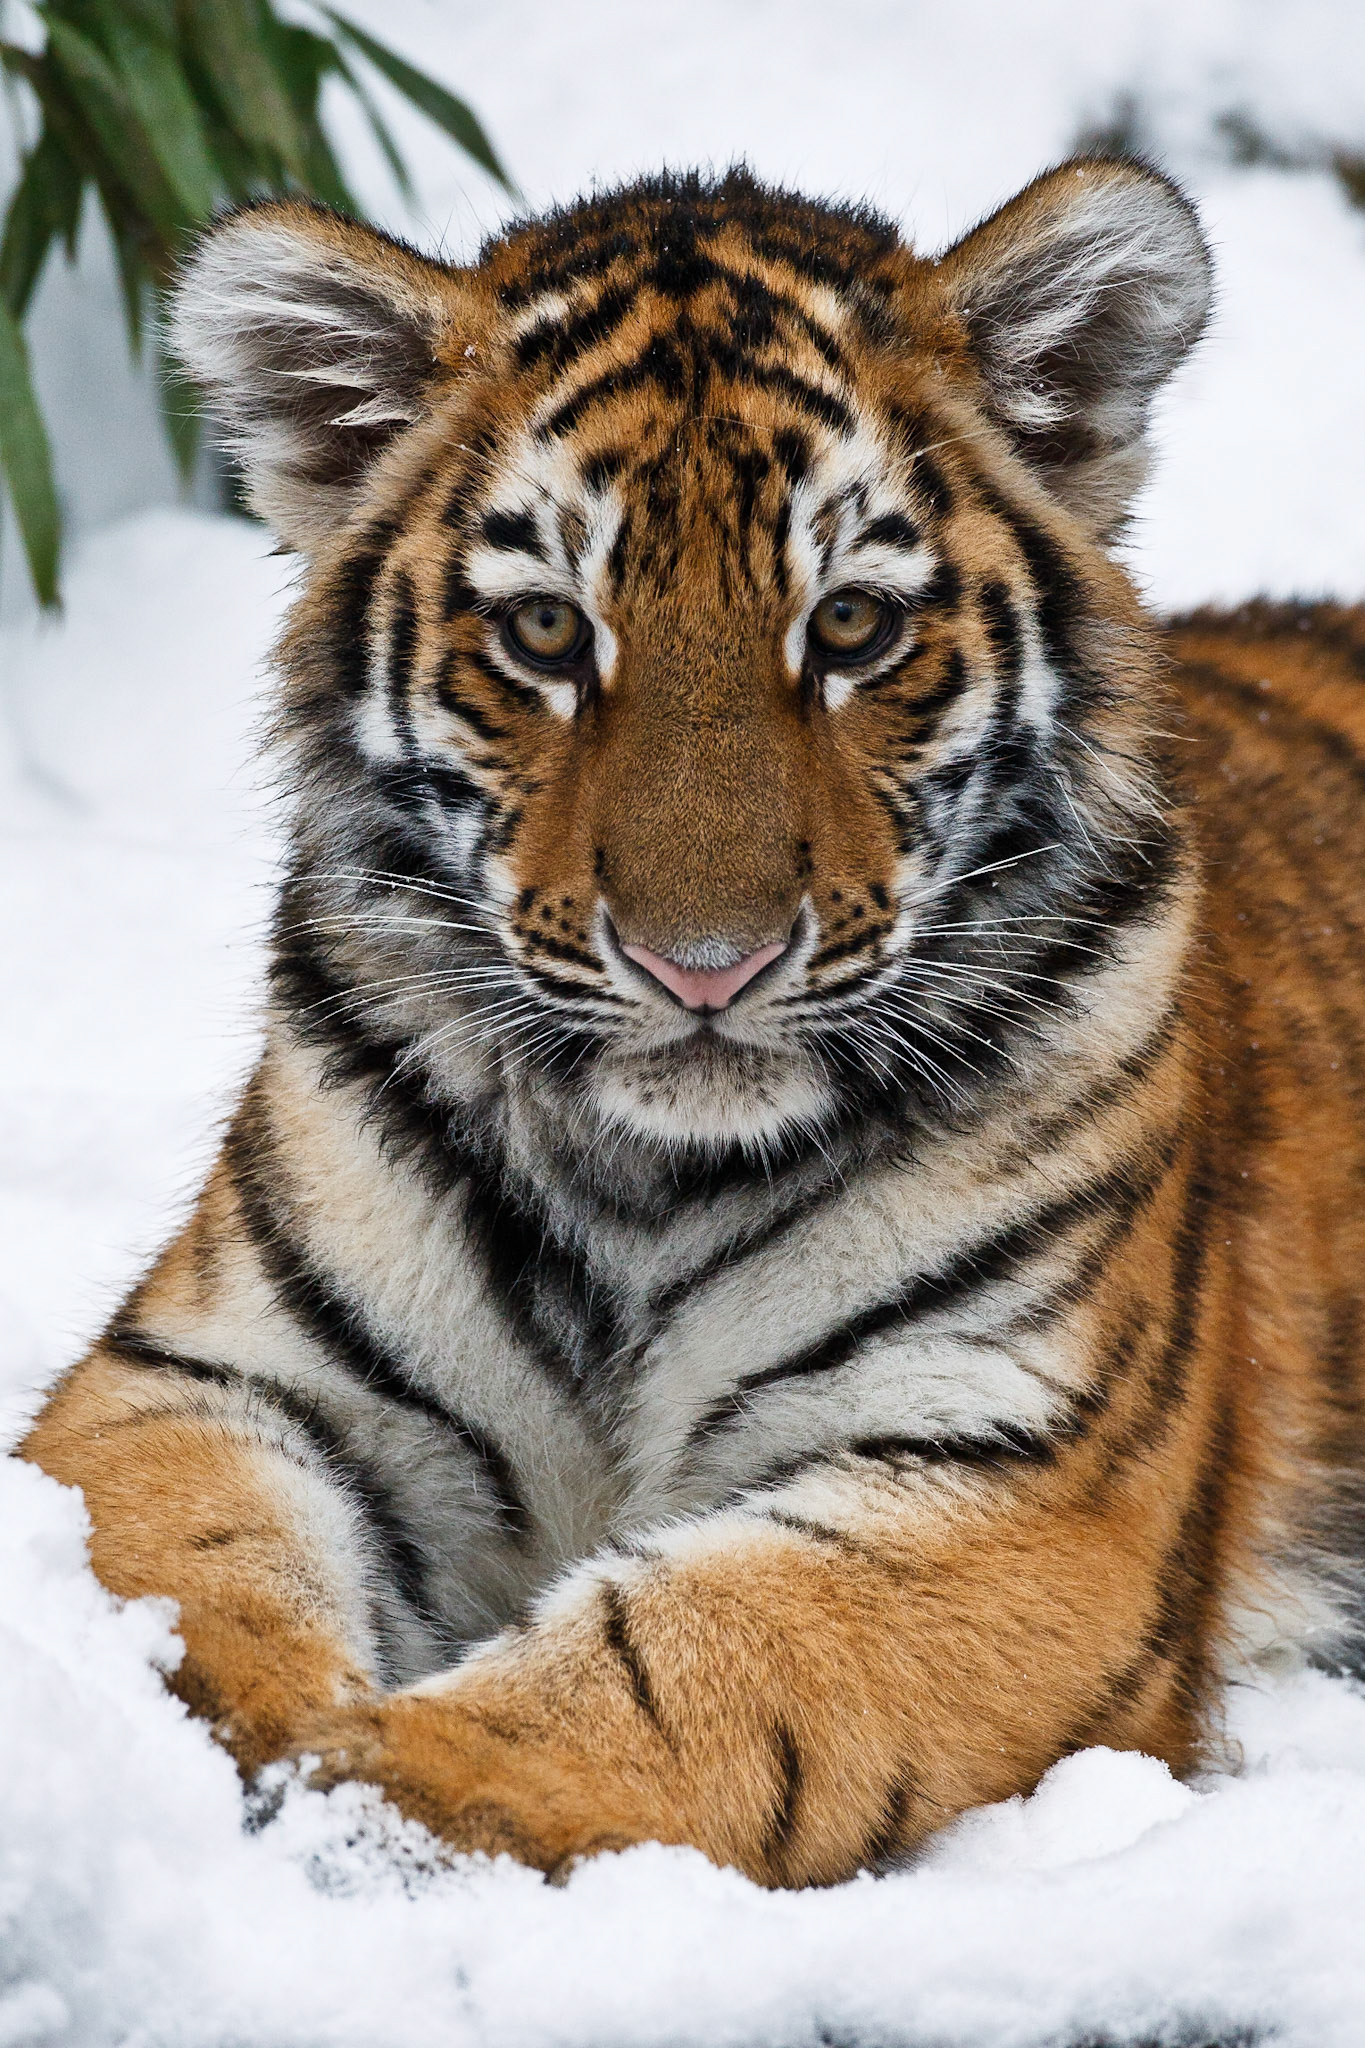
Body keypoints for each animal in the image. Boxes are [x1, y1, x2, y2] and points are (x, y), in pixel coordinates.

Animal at [20, 157, 1365, 1891]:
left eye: (851, 628)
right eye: (545, 634)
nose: (705, 964)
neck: (642, 1189)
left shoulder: (1029, 1475)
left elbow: (680, 1669)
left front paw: (361, 1816)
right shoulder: (214, 1374)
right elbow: (190, 1584)